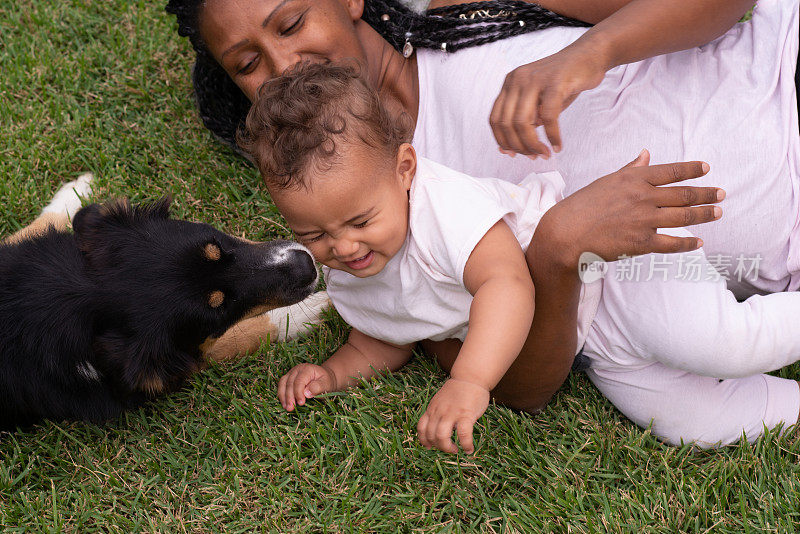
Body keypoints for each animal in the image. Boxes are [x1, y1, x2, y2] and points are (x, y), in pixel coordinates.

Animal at [0, 176, 328, 432]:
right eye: (220, 310)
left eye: (216, 244)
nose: (308, 266)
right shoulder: (175, 362)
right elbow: (243, 334)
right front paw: (309, 311)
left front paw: (76, 191)